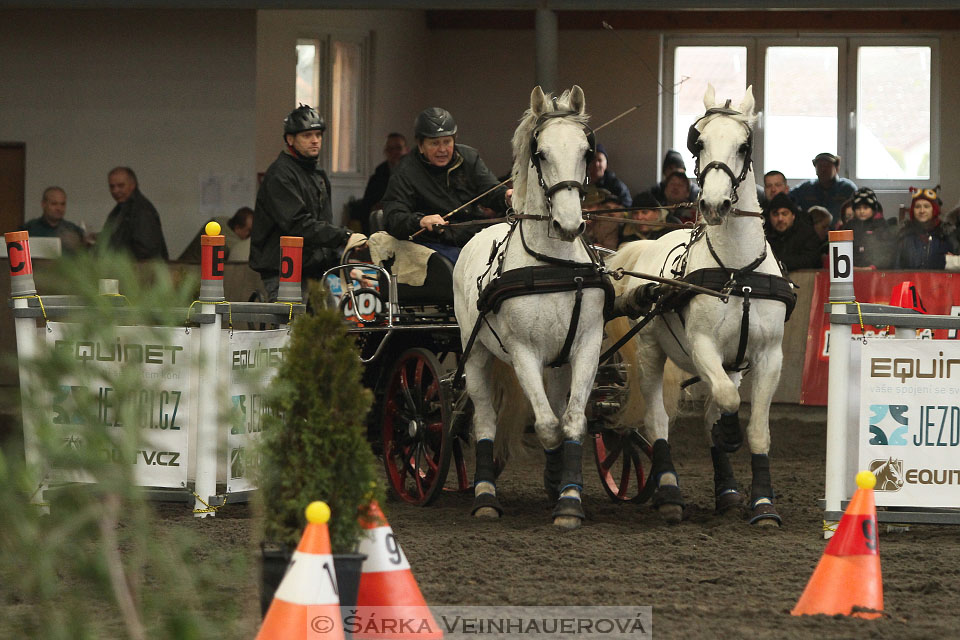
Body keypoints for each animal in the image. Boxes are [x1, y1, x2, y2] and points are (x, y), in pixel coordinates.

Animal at [454, 85, 612, 528]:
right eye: (540, 153)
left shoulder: (585, 345)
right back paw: (485, 495)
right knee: (485, 420)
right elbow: (544, 425)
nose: (570, 225)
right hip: (476, 353)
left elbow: (570, 421)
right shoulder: (524, 352)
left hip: (556, 363)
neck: (553, 265)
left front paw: (568, 495)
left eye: (586, 151)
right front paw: (559, 489)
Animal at [608, 85, 796, 524]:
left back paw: (726, 491)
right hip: (649, 353)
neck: (737, 272)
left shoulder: (767, 356)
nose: (713, 205)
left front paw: (763, 503)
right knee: (657, 420)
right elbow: (726, 402)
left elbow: (755, 429)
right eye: (700, 142)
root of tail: (647, 243)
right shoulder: (702, 345)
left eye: (744, 145)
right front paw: (728, 434)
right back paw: (668, 492)